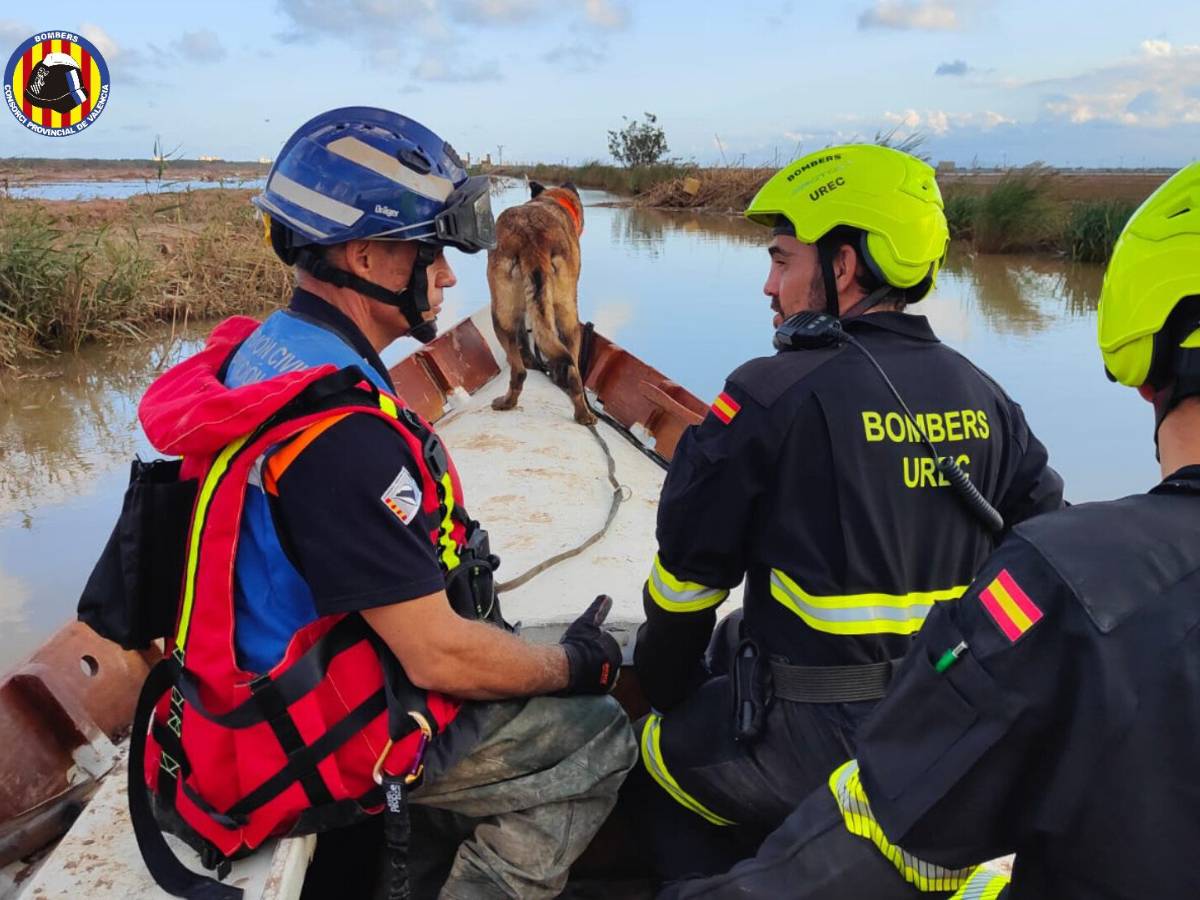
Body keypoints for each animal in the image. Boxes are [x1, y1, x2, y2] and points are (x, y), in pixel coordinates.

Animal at [487, 182, 595, 427]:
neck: (552, 199)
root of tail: (532, 238)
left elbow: (524, 342)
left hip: (500, 315)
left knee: (519, 372)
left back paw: (507, 402)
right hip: (568, 318)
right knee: (574, 374)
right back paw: (583, 415)